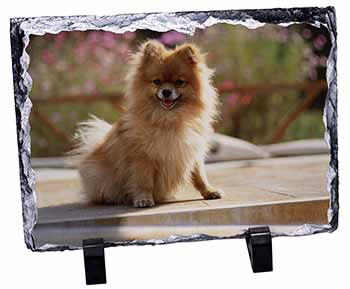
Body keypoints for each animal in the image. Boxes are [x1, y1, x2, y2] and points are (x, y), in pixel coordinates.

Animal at [73, 40, 223, 207]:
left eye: (179, 82)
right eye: (156, 81)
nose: (166, 91)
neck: (168, 119)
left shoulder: (192, 150)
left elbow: (200, 175)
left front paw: (209, 191)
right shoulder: (142, 158)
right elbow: (144, 182)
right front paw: (143, 199)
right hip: (98, 174)